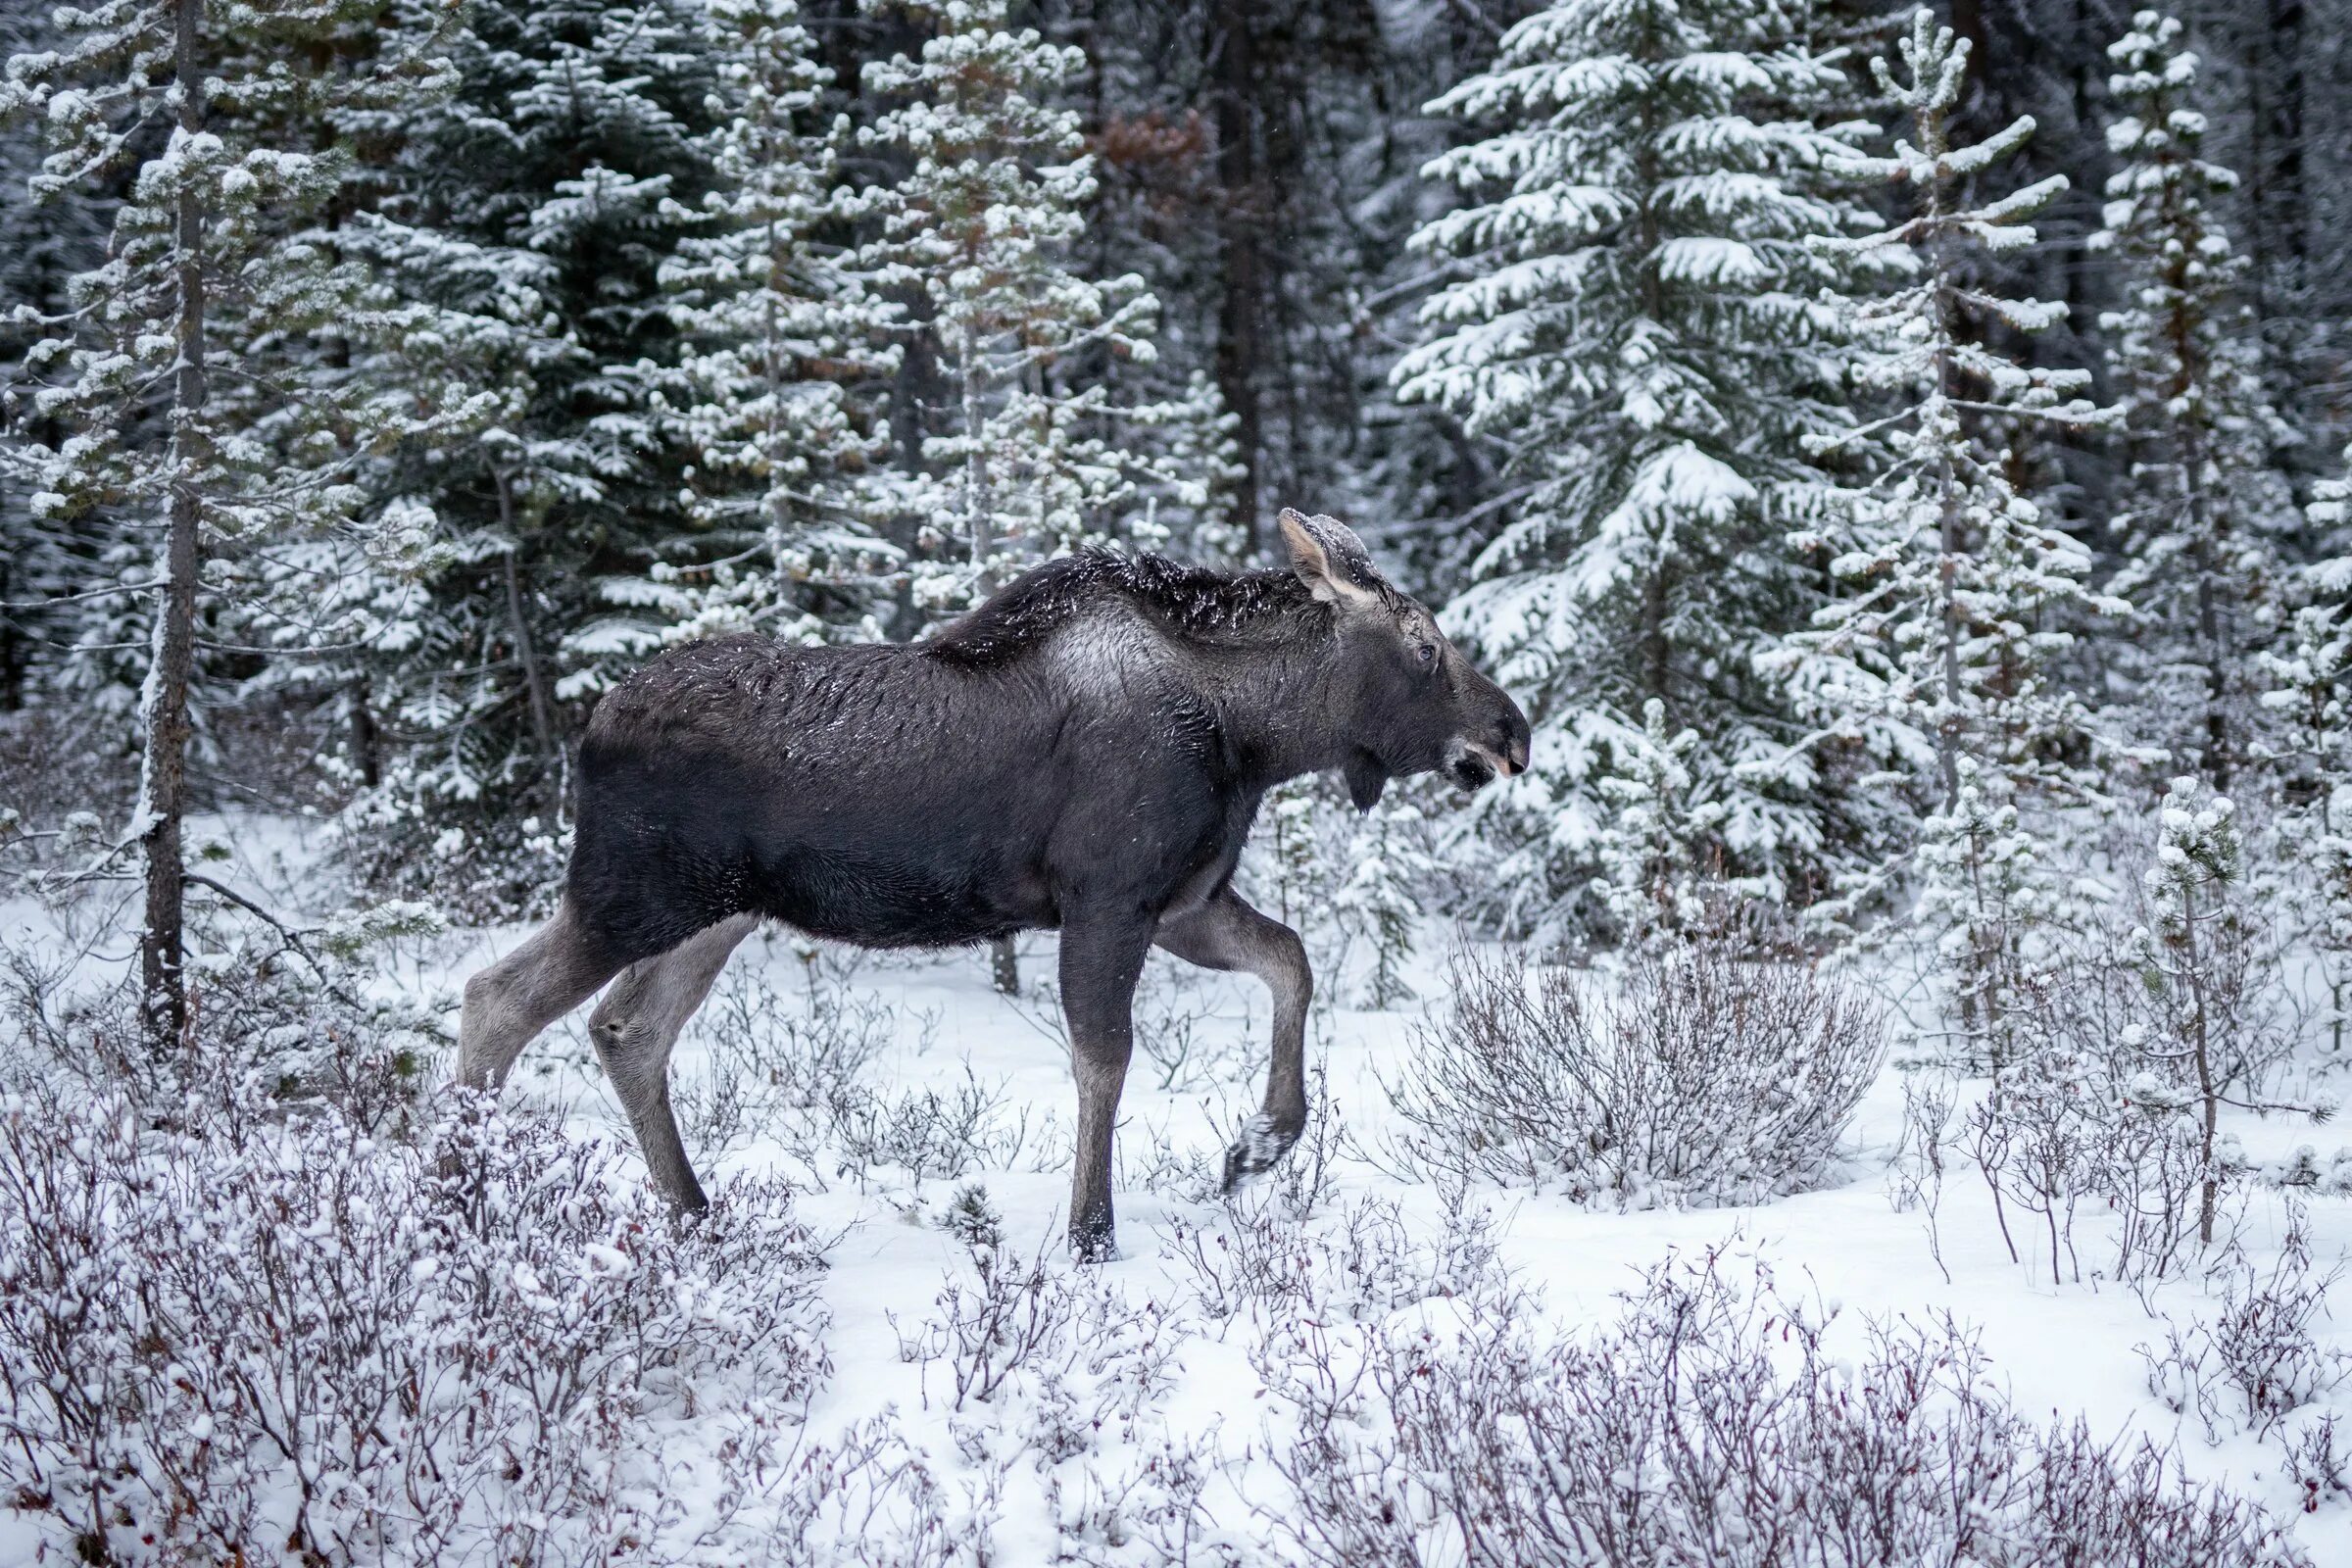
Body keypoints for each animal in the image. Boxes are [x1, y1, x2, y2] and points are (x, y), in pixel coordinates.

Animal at [461, 514, 1533, 1259]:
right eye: (1425, 645)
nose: (1513, 731)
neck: (1256, 740)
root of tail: (590, 728)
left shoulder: (1184, 902)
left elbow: (1292, 963)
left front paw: (1257, 1145)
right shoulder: (1109, 899)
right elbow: (1105, 1058)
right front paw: (1092, 1231)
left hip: (712, 913)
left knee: (626, 1030)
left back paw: (690, 1212)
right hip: (631, 893)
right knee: (497, 997)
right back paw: (462, 1201)